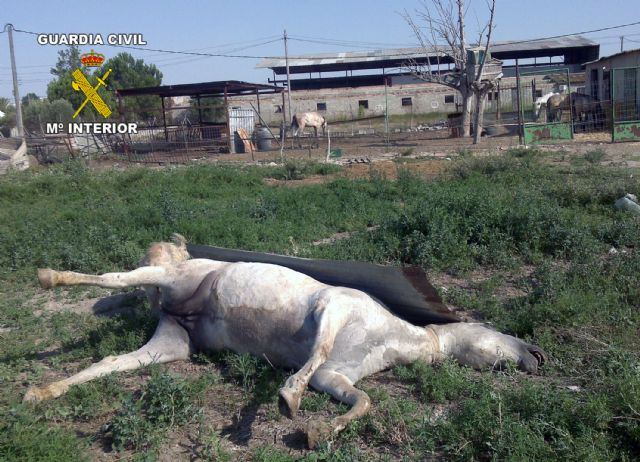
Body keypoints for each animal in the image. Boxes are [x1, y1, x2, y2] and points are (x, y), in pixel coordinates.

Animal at [25, 237, 546, 448]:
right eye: (497, 333)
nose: (538, 358)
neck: (393, 336)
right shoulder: (332, 308)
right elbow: (313, 357)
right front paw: (286, 400)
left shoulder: (335, 378)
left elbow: (363, 400)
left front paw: (318, 433)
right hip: (164, 279)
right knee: (114, 277)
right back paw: (49, 276)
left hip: (172, 344)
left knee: (113, 360)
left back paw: (40, 392)